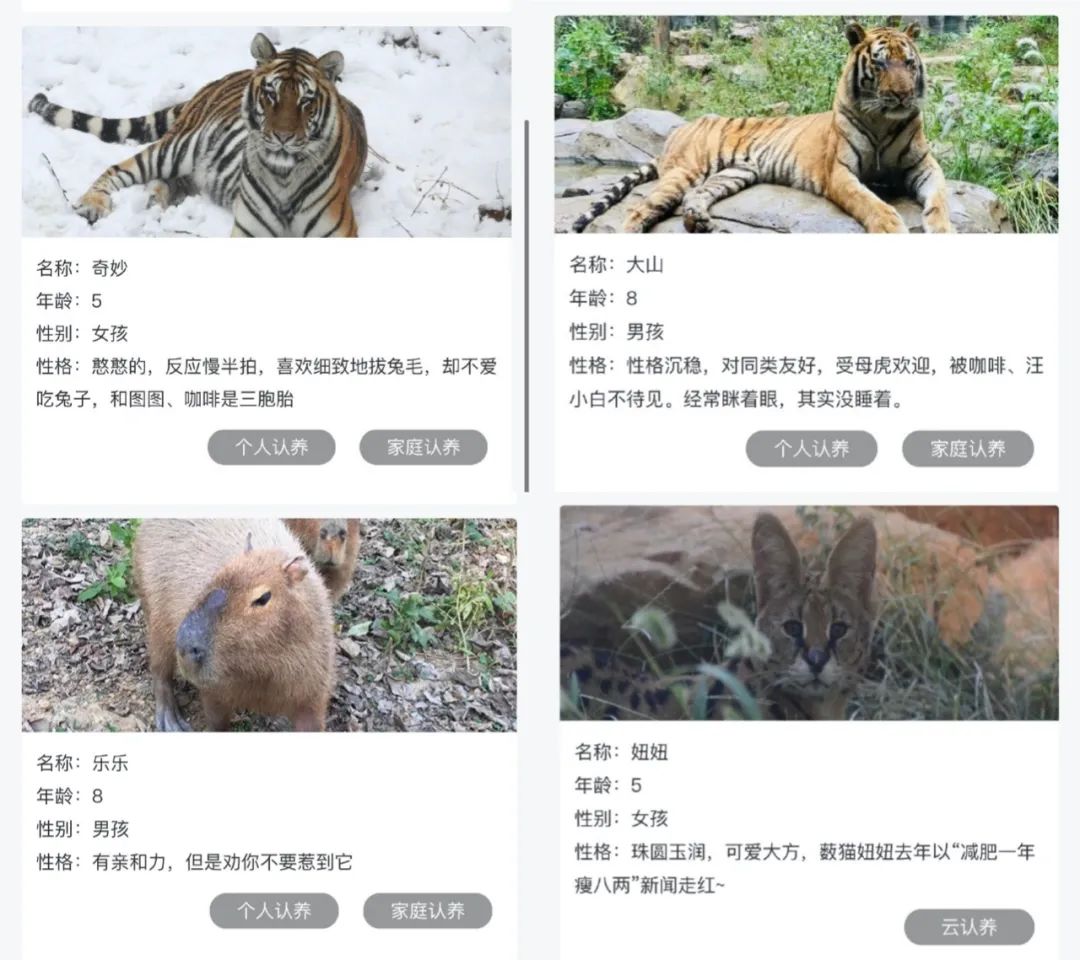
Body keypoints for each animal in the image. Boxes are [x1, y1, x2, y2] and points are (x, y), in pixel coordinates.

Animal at [26, 33, 368, 237]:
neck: (283, 176)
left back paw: (156, 200)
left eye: (306, 101)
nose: (282, 136)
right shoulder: (251, 230)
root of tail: (215, 81)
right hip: (177, 148)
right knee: (117, 169)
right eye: (271, 93)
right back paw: (95, 204)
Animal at [572, 22, 952, 235]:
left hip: (734, 173)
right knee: (640, 209)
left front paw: (941, 228)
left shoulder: (924, 165)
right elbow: (872, 203)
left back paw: (698, 221)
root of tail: (681, 129)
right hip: (685, 171)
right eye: (880, 63)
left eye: (909, 63)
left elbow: (940, 199)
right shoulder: (840, 173)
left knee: (696, 196)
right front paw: (892, 228)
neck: (883, 120)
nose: (902, 95)